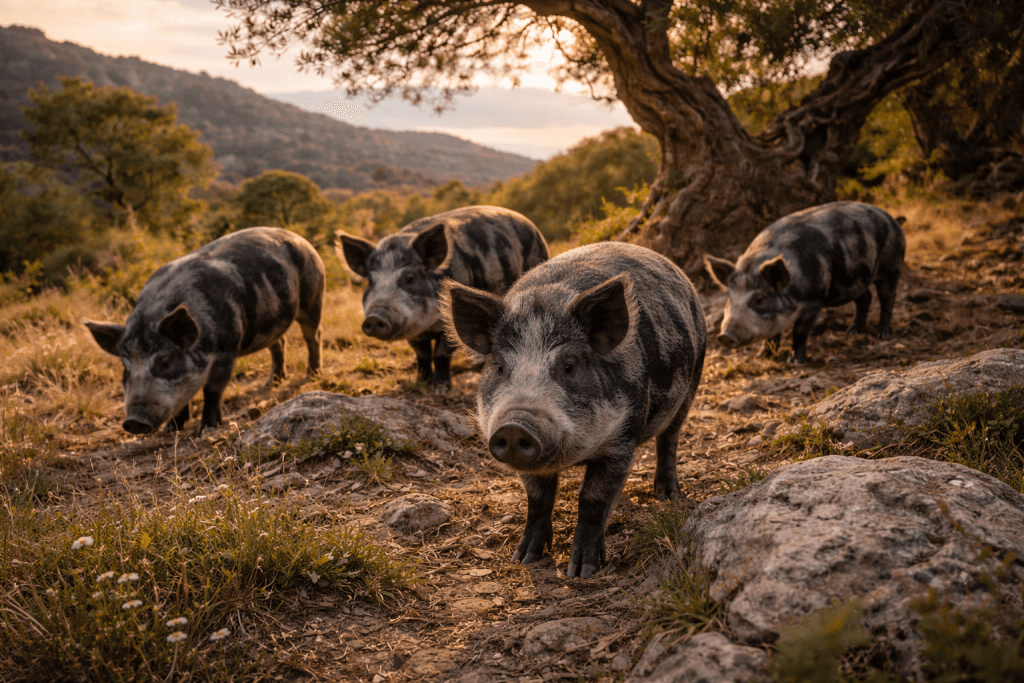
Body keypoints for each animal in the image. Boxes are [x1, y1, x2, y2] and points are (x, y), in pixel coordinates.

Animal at [84, 227, 325, 435]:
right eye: (125, 367)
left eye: (165, 363)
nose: (134, 421)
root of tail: (301, 240)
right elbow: (181, 401)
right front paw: (171, 429)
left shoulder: (226, 348)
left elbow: (212, 390)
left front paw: (206, 429)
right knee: (279, 343)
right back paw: (273, 382)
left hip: (313, 299)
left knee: (313, 337)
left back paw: (313, 374)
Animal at [336, 205, 548, 392]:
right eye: (371, 281)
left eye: (409, 278)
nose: (374, 318)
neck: (428, 327)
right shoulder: (414, 330)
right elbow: (421, 354)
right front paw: (420, 383)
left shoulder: (448, 324)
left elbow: (440, 354)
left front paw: (441, 390)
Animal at [440, 242, 706, 578]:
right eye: (499, 366)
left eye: (569, 366)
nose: (515, 426)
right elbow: (538, 498)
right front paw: (524, 558)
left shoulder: (622, 439)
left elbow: (592, 499)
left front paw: (582, 571)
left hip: (693, 381)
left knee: (669, 439)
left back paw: (668, 496)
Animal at [704, 201, 905, 364]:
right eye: (730, 298)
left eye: (759, 299)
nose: (724, 335)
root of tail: (892, 219)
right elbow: (771, 335)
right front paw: (762, 356)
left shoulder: (813, 299)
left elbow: (800, 331)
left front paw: (794, 361)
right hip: (856, 280)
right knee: (865, 298)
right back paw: (852, 332)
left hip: (892, 267)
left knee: (888, 298)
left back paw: (883, 334)